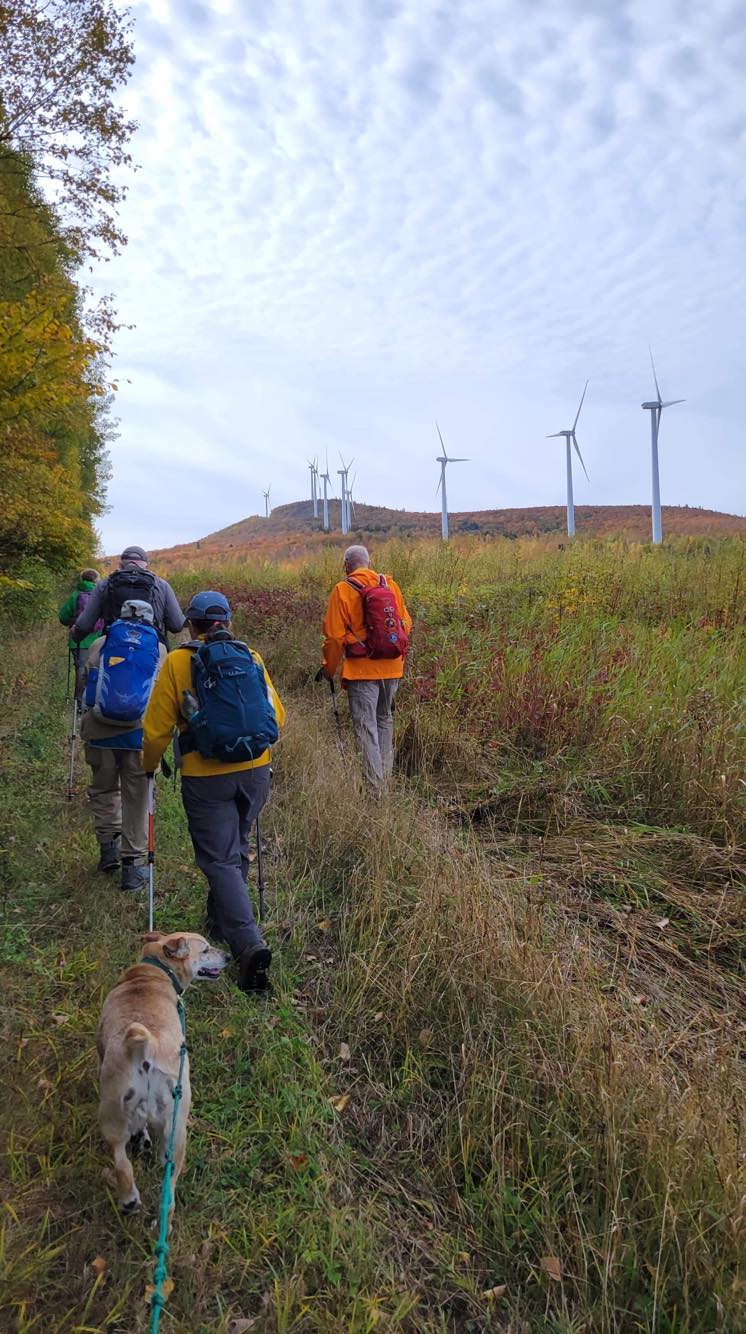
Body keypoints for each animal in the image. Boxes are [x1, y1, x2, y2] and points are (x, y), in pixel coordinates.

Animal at [99, 933, 228, 1216]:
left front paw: (142, 1139)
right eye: (205, 950)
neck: (154, 971)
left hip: (114, 1117)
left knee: (122, 1163)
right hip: (176, 1128)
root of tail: (146, 1048)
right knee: (167, 1181)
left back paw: (129, 1200)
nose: (228, 956)